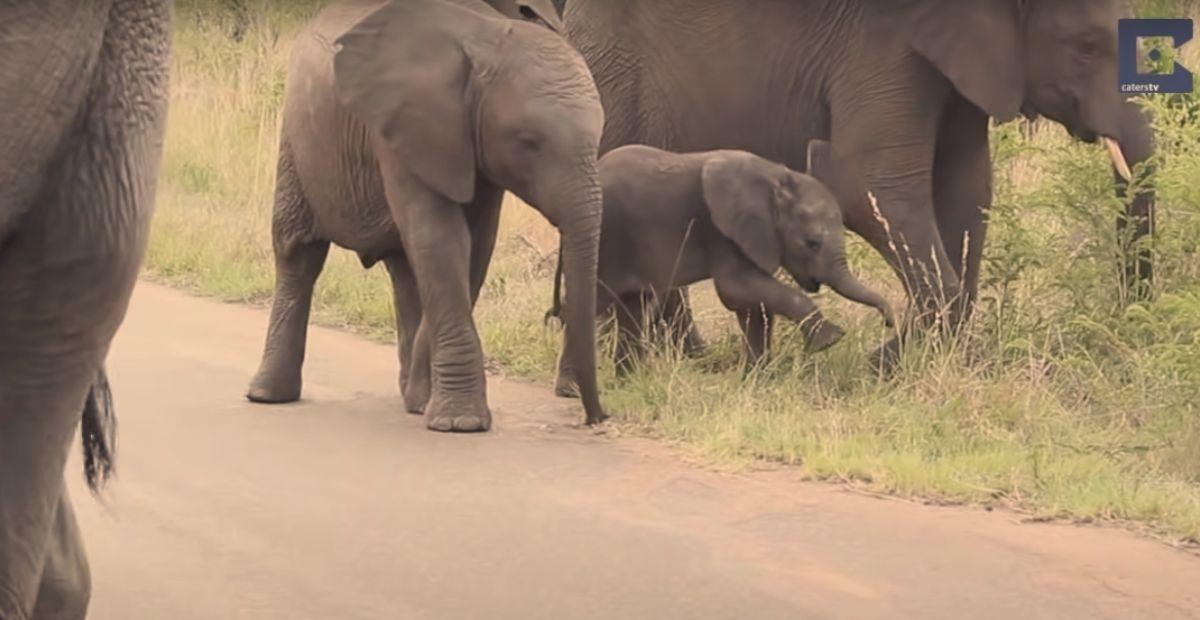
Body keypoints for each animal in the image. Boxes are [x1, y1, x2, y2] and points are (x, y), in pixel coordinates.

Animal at [246, 0, 608, 431]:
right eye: (529, 142)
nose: (597, 417)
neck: (483, 38)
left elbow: (473, 247)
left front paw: (428, 402)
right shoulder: (402, 128)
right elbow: (441, 238)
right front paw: (460, 423)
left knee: (404, 269)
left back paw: (413, 398)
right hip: (297, 140)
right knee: (297, 252)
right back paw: (267, 395)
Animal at [550, 141, 894, 392]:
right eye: (812, 243)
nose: (889, 320)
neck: (775, 177)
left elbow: (754, 306)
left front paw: (758, 382)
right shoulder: (723, 232)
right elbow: (736, 289)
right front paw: (830, 339)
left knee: (634, 308)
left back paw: (631, 383)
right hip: (606, 240)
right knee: (592, 302)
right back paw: (571, 390)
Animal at [563, 0, 1155, 365]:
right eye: (1086, 46)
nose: (1132, 323)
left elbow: (967, 190)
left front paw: (917, 361)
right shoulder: (883, 47)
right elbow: (867, 182)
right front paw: (885, 365)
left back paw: (689, 356)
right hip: (616, 68)